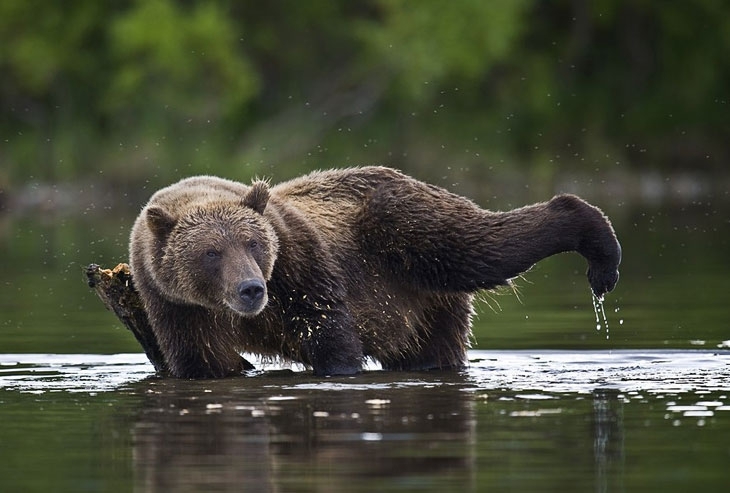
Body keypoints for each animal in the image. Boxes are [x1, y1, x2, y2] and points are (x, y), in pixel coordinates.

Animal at [128, 165, 616, 376]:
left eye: (253, 243)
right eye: (211, 253)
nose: (250, 289)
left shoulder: (299, 264)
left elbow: (327, 326)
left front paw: (341, 367)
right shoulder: (175, 306)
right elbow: (205, 360)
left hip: (408, 231)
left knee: (486, 246)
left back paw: (598, 251)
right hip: (423, 307)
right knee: (434, 343)